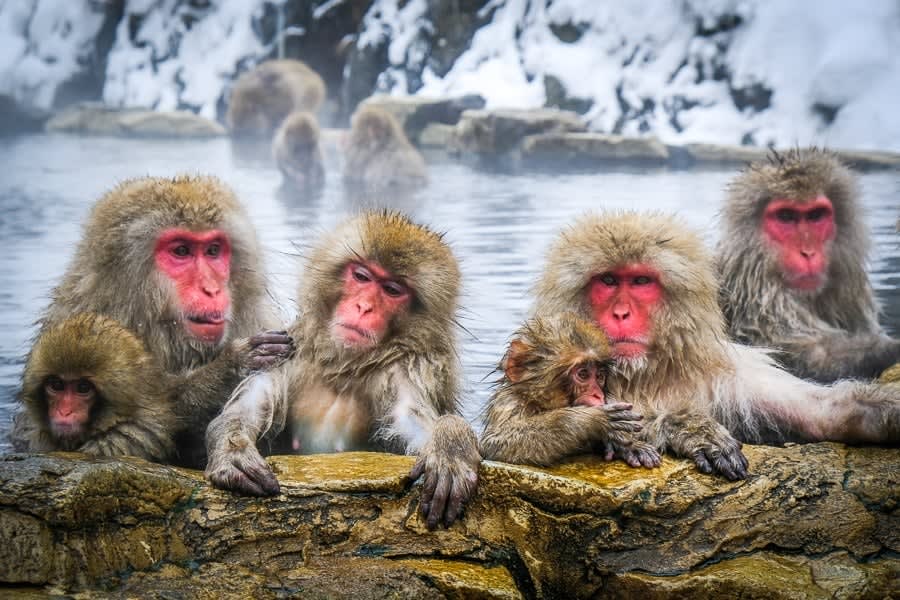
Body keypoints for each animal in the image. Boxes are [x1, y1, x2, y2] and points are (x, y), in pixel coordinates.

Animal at [206, 211, 480, 529]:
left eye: (392, 290)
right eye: (361, 276)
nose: (363, 307)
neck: (342, 366)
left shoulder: (405, 371)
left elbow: (411, 420)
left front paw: (450, 446)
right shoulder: (287, 351)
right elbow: (247, 409)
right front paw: (233, 450)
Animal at [480, 312, 661, 468]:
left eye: (600, 376)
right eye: (583, 374)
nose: (598, 395)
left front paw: (629, 444)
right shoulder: (511, 403)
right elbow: (495, 443)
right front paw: (592, 420)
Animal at [532, 210, 900, 480]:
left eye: (640, 281)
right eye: (608, 280)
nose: (620, 313)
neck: (646, 375)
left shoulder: (738, 376)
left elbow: (824, 414)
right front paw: (690, 427)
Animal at [718, 148, 900, 383]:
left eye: (815, 215)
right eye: (786, 216)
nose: (808, 253)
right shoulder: (759, 308)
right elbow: (800, 356)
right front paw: (889, 350)